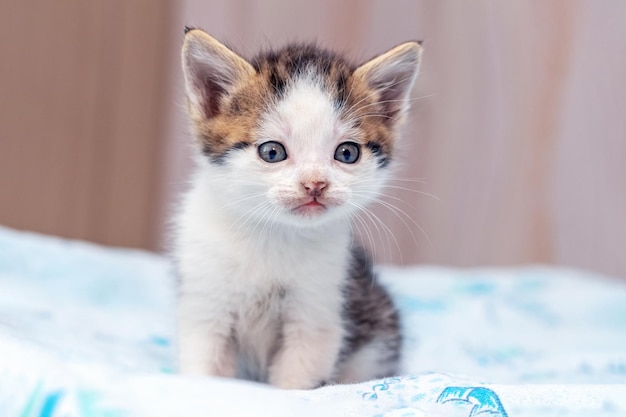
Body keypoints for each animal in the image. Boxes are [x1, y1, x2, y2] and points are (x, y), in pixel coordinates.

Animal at [173, 27, 422, 388]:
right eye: (272, 152)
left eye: (347, 153)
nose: (314, 184)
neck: (274, 234)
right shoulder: (204, 298)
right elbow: (206, 364)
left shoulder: (319, 308)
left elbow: (298, 377)